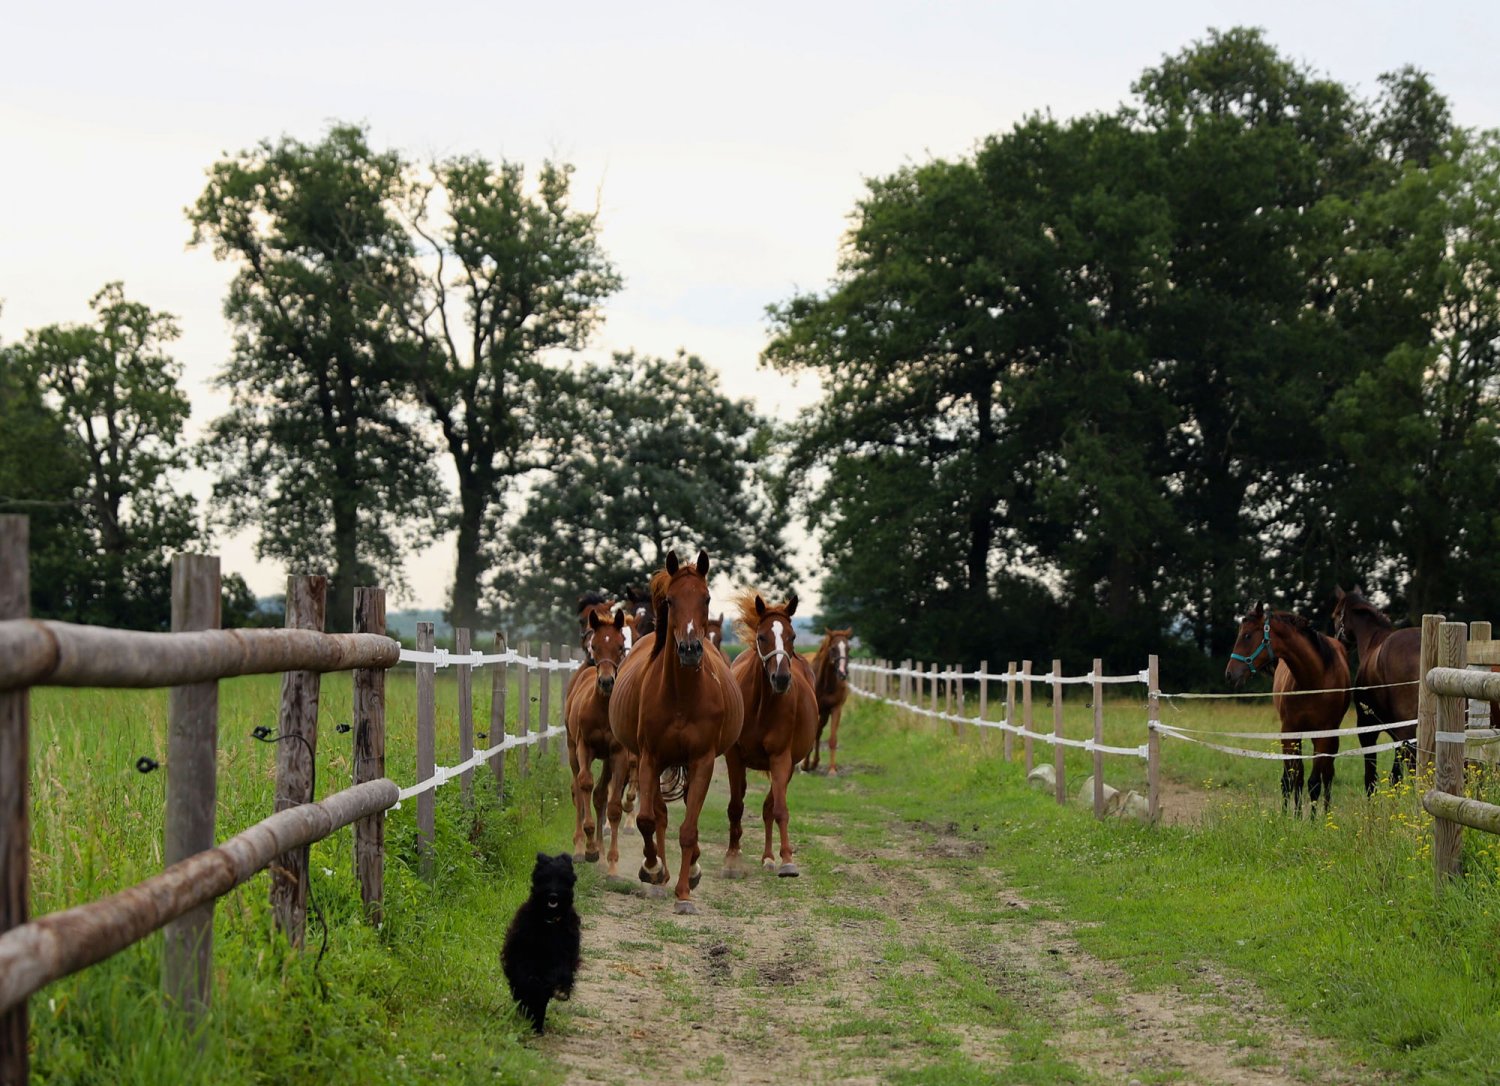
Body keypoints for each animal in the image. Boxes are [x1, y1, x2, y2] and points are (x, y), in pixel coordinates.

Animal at [501, 852, 581, 1033]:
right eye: (545, 877)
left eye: (563, 878)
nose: (553, 895)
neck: (549, 922)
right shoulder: (523, 948)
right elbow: (527, 978)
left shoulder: (566, 951)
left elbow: (562, 971)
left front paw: (561, 989)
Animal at [608, 550, 744, 913]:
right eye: (670, 600)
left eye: (706, 598)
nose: (690, 650)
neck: (683, 695)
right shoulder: (649, 758)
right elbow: (647, 820)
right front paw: (652, 869)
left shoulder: (702, 761)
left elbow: (689, 829)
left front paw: (684, 893)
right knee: (660, 815)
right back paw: (660, 875)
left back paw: (689, 871)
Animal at [725, 592, 818, 878]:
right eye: (762, 636)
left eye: (793, 636)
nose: (782, 678)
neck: (760, 705)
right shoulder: (734, 757)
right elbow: (736, 806)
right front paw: (732, 858)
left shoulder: (781, 758)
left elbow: (779, 809)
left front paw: (787, 860)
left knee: (769, 807)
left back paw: (768, 857)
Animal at [800, 627, 852, 776]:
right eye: (833, 648)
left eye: (848, 648)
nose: (843, 673)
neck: (825, 683)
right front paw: (804, 765)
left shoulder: (835, 709)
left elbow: (832, 739)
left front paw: (832, 770)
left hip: (824, 713)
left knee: (818, 732)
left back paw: (814, 763)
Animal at [1225, 603, 1351, 817]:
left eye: (1247, 636)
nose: (1230, 674)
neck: (1314, 679)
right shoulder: (1290, 732)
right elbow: (1295, 778)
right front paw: (1294, 817)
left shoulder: (1323, 735)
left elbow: (1314, 782)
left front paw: (1314, 820)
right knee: (1290, 778)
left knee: (1327, 775)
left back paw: (1326, 812)